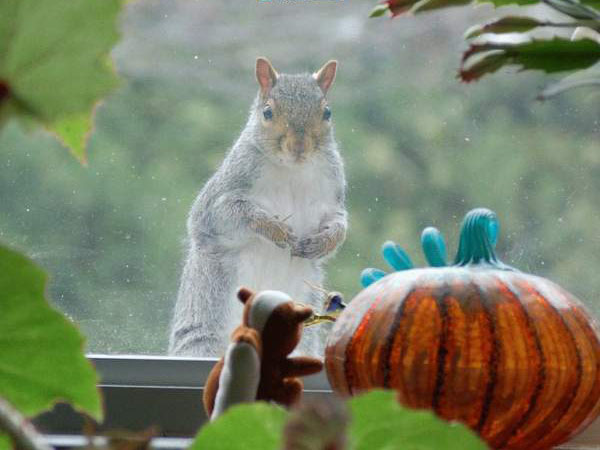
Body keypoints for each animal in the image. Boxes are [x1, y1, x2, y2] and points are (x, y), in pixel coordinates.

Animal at [169, 58, 346, 356]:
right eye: (267, 112)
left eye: (328, 112)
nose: (299, 146)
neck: (292, 170)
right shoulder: (222, 196)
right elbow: (230, 215)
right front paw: (275, 230)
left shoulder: (333, 195)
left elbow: (340, 226)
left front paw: (321, 243)